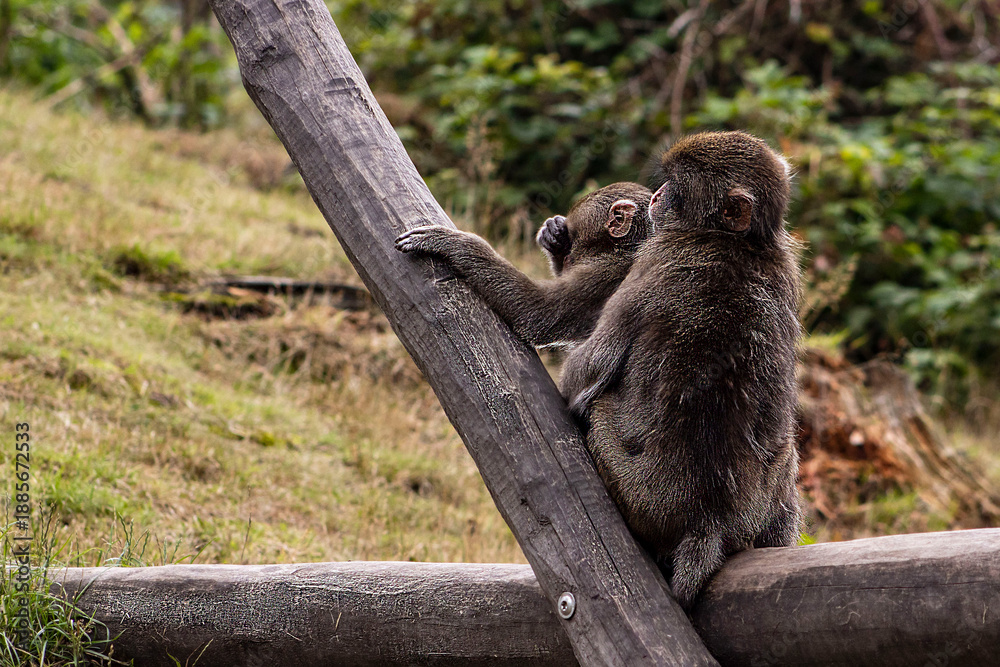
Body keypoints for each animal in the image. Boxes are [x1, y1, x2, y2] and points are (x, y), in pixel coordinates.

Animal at [394, 182, 653, 347]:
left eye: (576, 238)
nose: (570, 254)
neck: (622, 249)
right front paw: (553, 236)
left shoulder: (604, 276)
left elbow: (536, 312)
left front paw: (455, 242)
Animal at [559, 131, 802, 609]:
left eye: (677, 186)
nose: (656, 196)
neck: (736, 242)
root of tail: (709, 517)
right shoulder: (786, 273)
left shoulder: (657, 258)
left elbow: (586, 371)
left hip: (635, 490)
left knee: (600, 408)